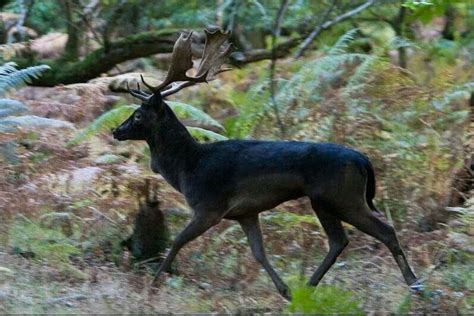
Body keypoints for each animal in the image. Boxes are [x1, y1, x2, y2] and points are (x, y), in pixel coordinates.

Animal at [113, 28, 420, 300]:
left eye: (138, 115)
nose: (116, 131)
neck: (188, 167)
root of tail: (363, 160)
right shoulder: (245, 213)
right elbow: (258, 252)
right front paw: (284, 291)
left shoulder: (209, 206)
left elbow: (178, 240)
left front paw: (153, 286)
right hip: (324, 201)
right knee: (339, 240)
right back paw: (308, 287)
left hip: (343, 196)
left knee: (384, 231)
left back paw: (415, 285)